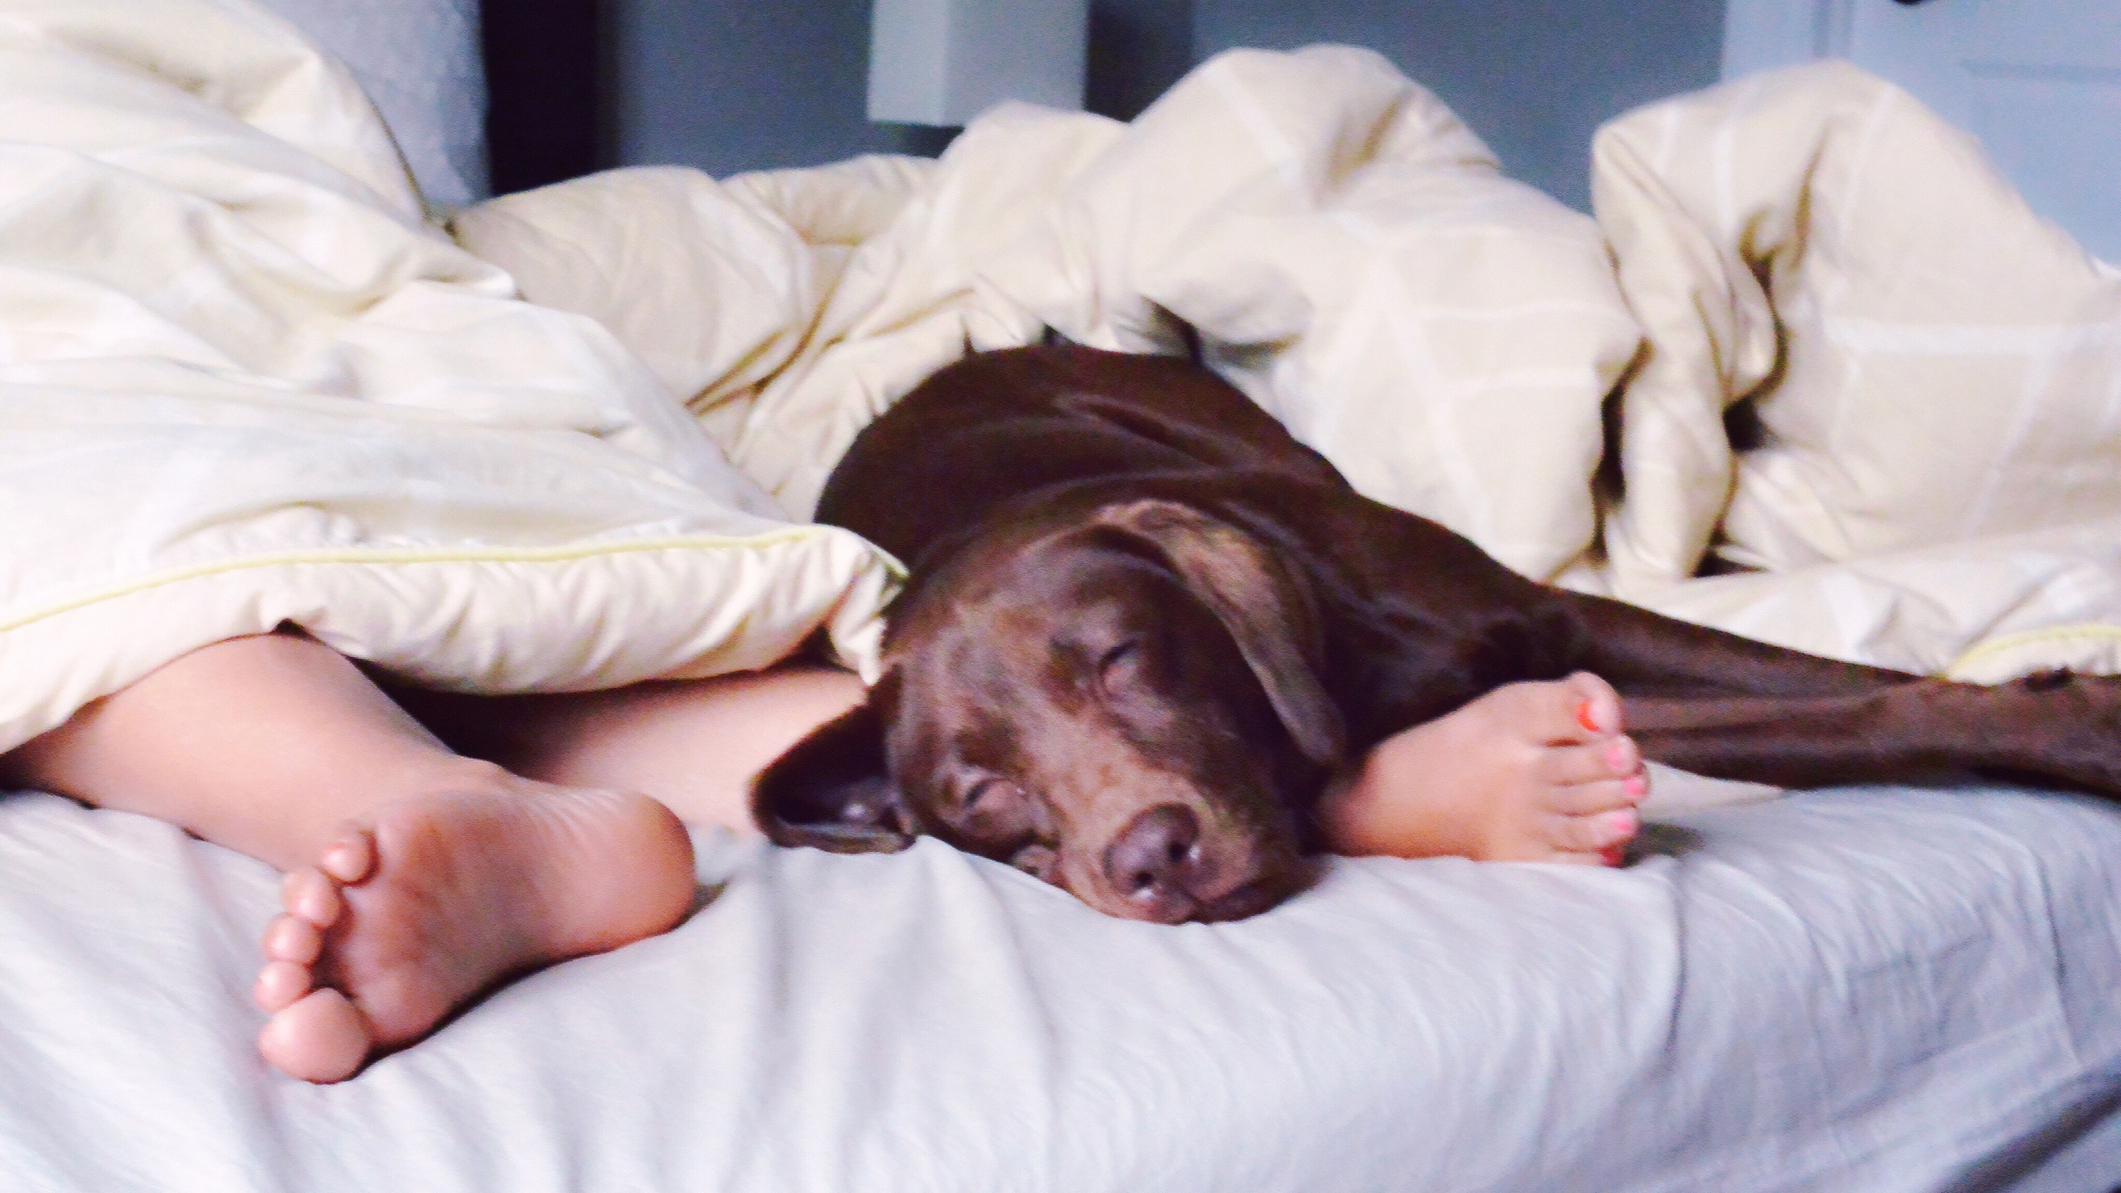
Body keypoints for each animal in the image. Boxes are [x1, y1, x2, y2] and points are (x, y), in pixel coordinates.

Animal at [755, 341, 2121, 921]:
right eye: (980, 793)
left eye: (1122, 656)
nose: (1150, 858)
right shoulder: (1574, 693)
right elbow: (1837, 719)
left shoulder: (1557, 614)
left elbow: (1835, 681)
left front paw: (2071, 715)